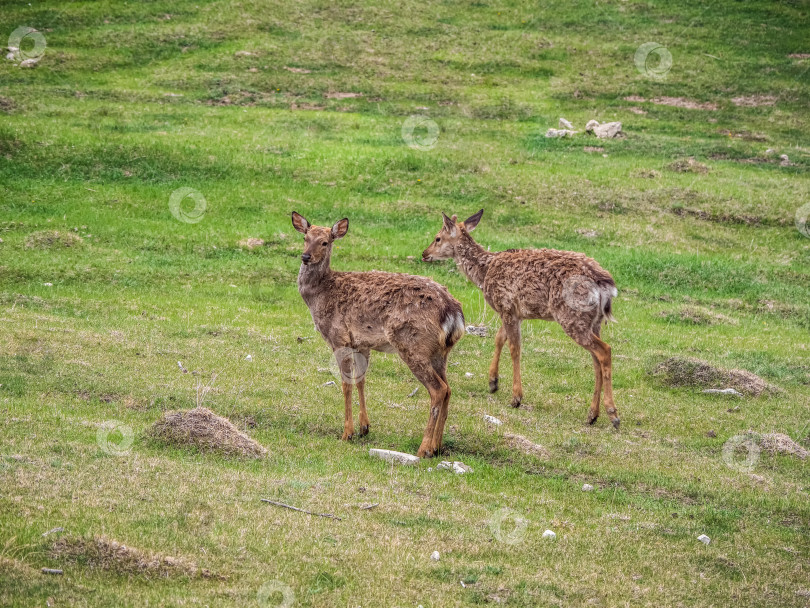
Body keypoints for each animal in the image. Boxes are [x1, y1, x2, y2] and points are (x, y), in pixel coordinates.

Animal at [294, 213, 464, 456]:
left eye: (325, 242)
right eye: (305, 238)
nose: (306, 256)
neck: (320, 295)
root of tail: (453, 312)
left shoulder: (338, 337)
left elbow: (346, 383)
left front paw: (347, 433)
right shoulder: (361, 343)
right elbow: (361, 380)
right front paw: (364, 427)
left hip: (413, 344)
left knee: (438, 389)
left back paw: (423, 449)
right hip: (441, 352)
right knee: (448, 389)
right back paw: (437, 446)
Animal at [422, 211, 620, 430]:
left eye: (438, 238)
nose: (424, 253)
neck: (485, 272)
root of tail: (606, 285)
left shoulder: (506, 305)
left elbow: (514, 348)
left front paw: (516, 397)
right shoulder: (514, 312)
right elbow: (499, 338)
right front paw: (493, 382)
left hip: (571, 317)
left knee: (604, 350)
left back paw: (613, 414)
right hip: (594, 321)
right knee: (596, 359)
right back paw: (592, 415)